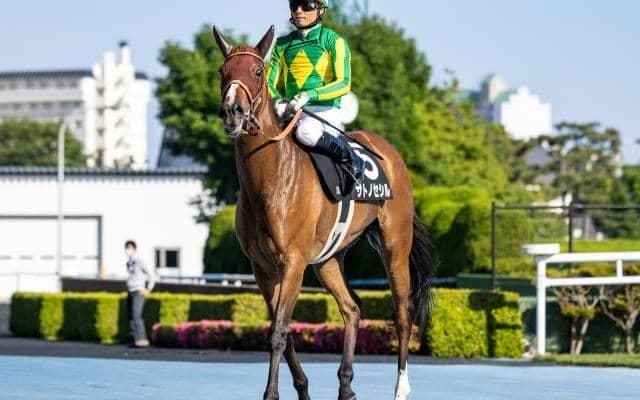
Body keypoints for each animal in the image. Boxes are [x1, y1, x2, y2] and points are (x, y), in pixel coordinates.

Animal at [213, 25, 436, 400]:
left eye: (257, 71)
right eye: (222, 72)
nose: (233, 111)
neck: (271, 181)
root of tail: (388, 152)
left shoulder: (293, 262)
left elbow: (279, 331)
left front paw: (271, 394)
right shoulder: (262, 267)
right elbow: (282, 330)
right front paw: (302, 388)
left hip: (394, 243)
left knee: (403, 313)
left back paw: (401, 387)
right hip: (329, 258)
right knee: (352, 308)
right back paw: (346, 386)